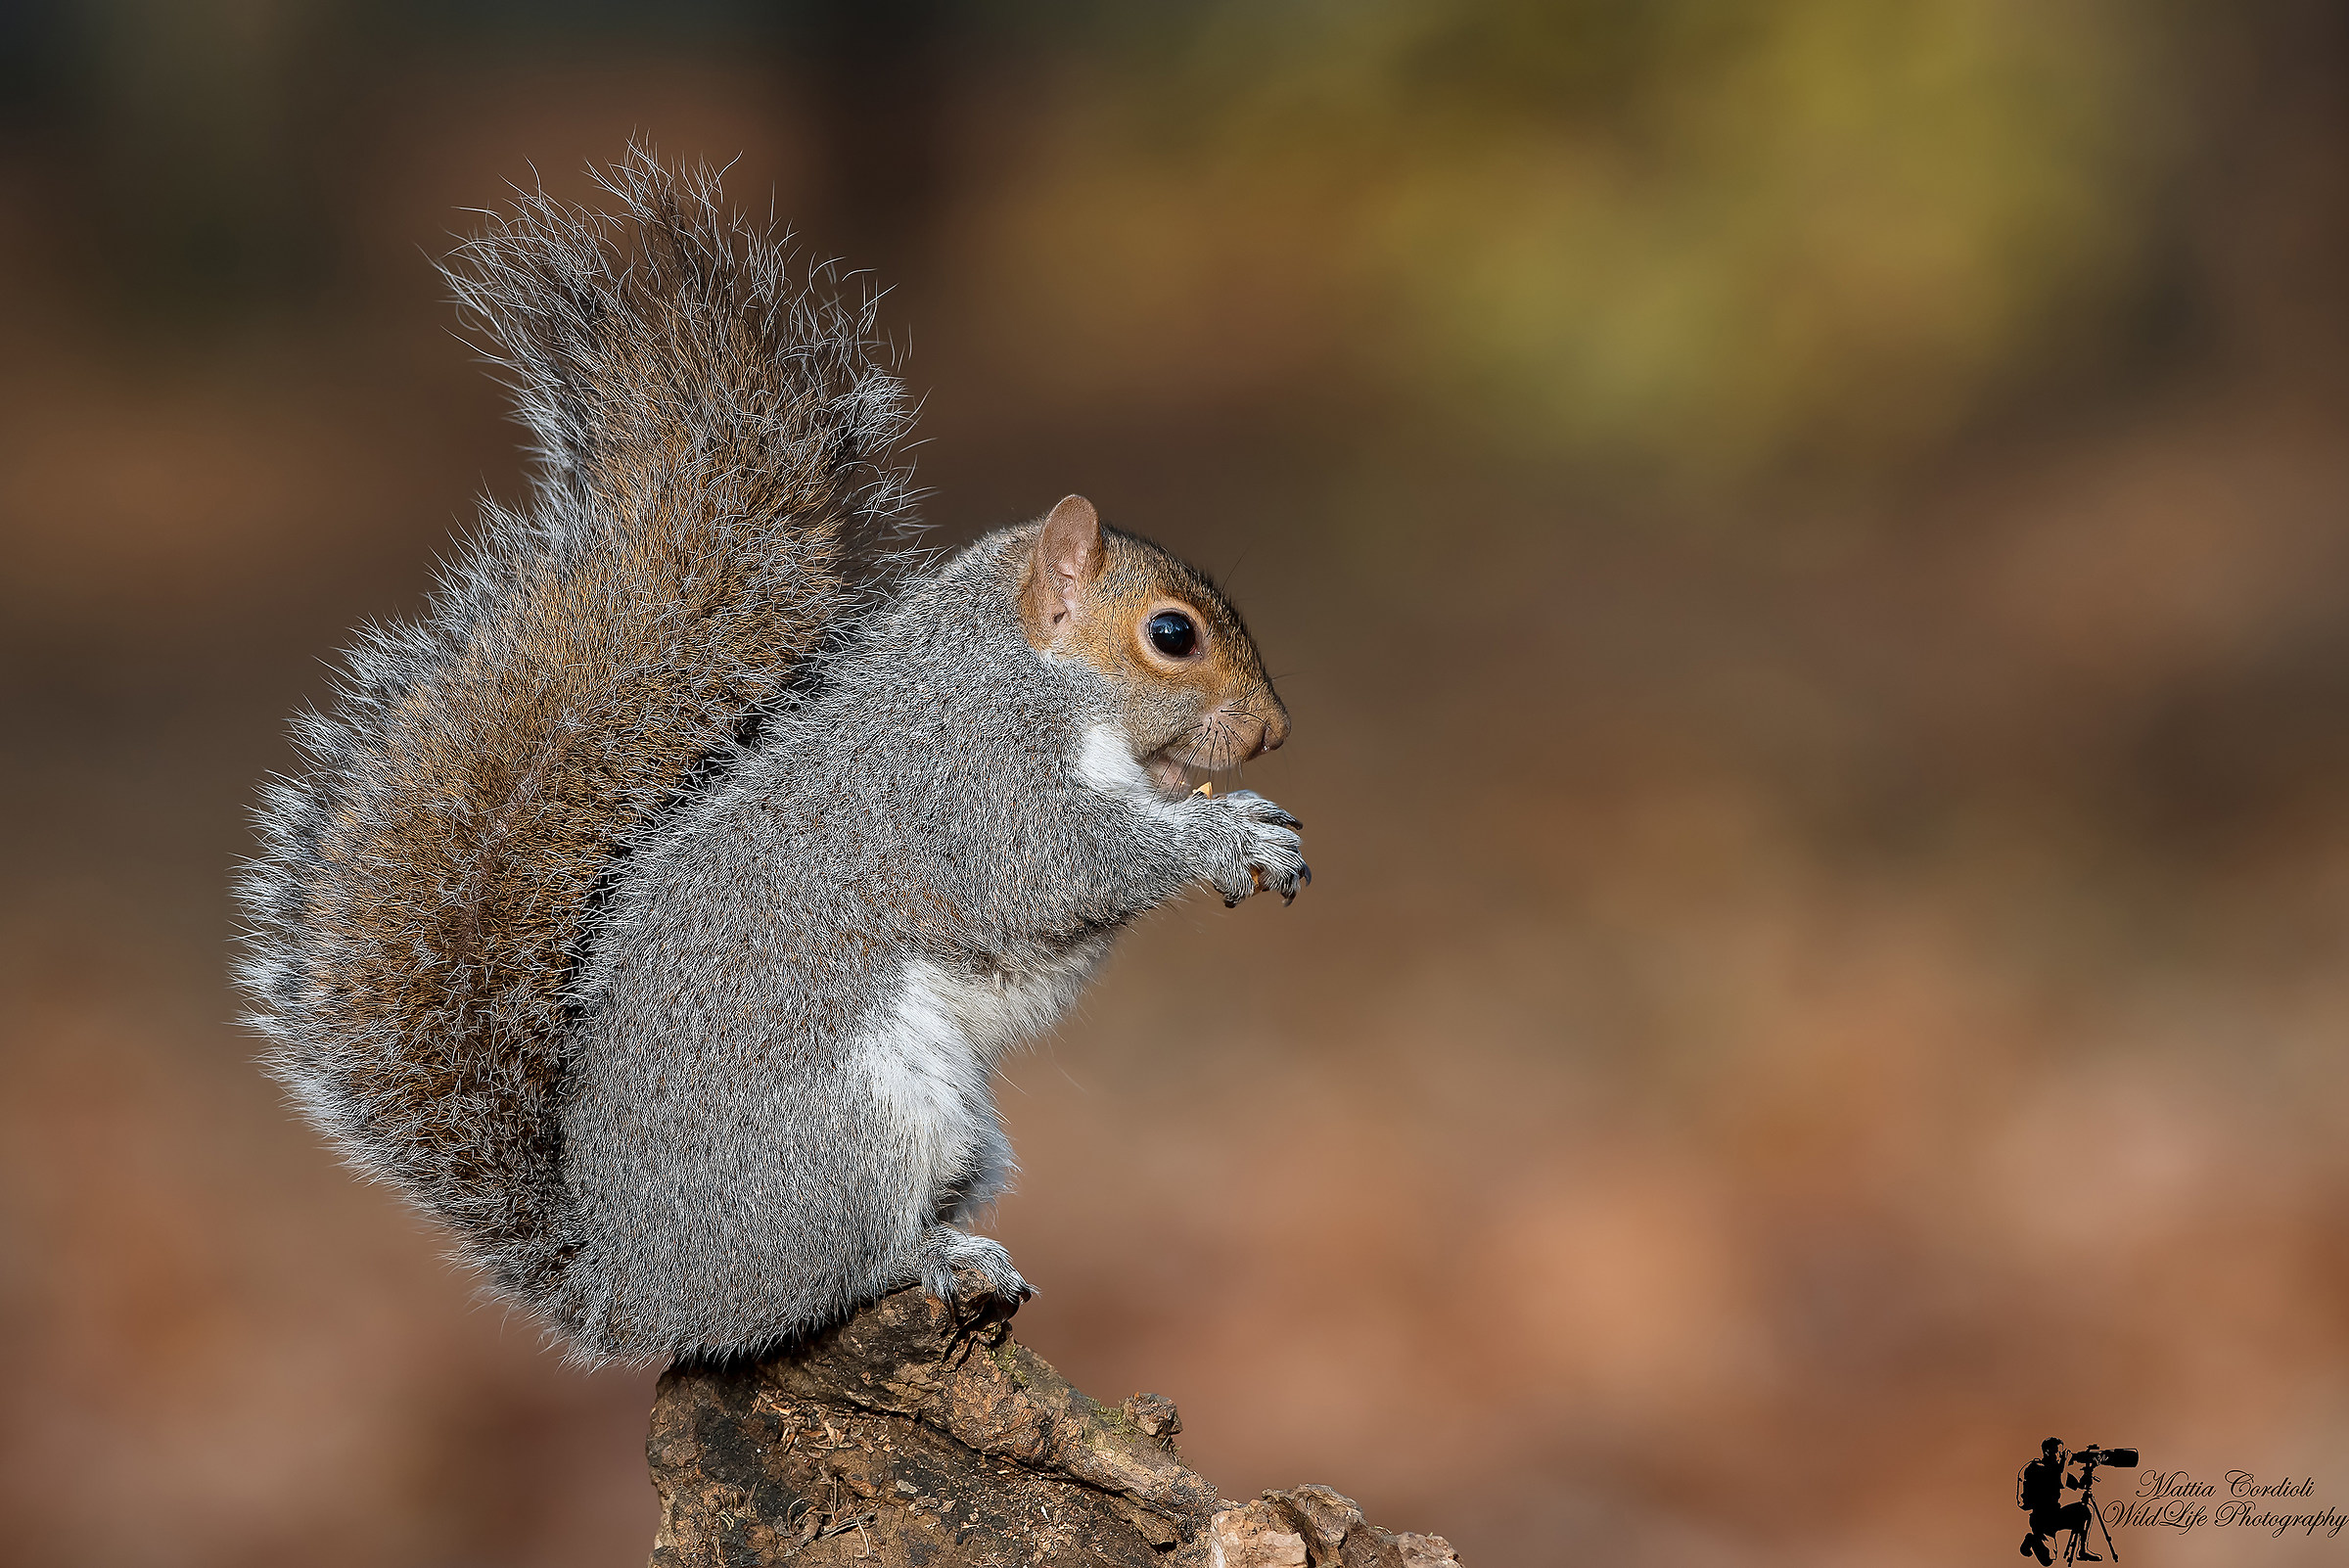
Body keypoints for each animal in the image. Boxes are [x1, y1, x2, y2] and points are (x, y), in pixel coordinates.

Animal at [236, 152, 1307, 1365]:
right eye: (1171, 635)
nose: (1272, 730)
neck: (1024, 668)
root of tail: (640, 1289)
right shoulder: (974, 775)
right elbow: (1053, 866)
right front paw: (1228, 834)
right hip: (850, 1128)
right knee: (830, 1275)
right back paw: (933, 1259)